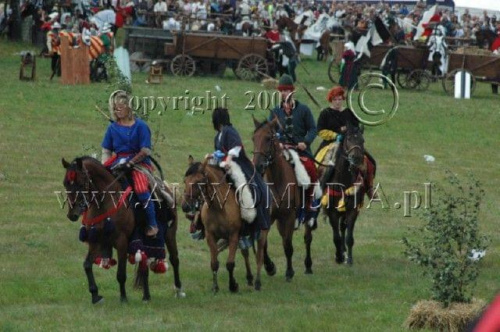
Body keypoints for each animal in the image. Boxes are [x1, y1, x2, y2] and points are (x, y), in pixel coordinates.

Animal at [62, 156, 184, 304]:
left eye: (80, 184)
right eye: (65, 184)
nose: (72, 214)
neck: (106, 201)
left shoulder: (121, 242)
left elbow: (121, 273)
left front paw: (123, 298)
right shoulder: (95, 241)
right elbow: (87, 265)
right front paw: (95, 295)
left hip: (170, 234)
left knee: (174, 259)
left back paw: (178, 290)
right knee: (144, 265)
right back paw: (146, 296)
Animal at [181, 156, 270, 290]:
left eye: (199, 182)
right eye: (185, 181)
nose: (185, 206)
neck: (219, 207)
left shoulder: (233, 235)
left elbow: (230, 263)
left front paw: (233, 285)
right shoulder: (211, 236)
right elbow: (214, 263)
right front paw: (215, 287)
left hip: (262, 233)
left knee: (259, 255)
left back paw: (258, 282)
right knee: (245, 253)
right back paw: (249, 277)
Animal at [252, 118, 314, 278]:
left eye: (268, 138)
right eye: (253, 138)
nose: (258, 166)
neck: (277, 181)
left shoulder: (289, 217)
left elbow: (287, 244)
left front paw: (289, 271)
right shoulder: (268, 217)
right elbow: (264, 243)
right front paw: (270, 267)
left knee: (307, 238)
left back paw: (308, 265)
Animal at [318, 126, 374, 266]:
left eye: (362, 140)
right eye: (348, 139)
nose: (356, 157)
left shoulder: (352, 210)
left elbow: (349, 236)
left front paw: (349, 259)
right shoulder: (332, 212)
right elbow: (336, 236)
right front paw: (338, 257)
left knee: (343, 227)